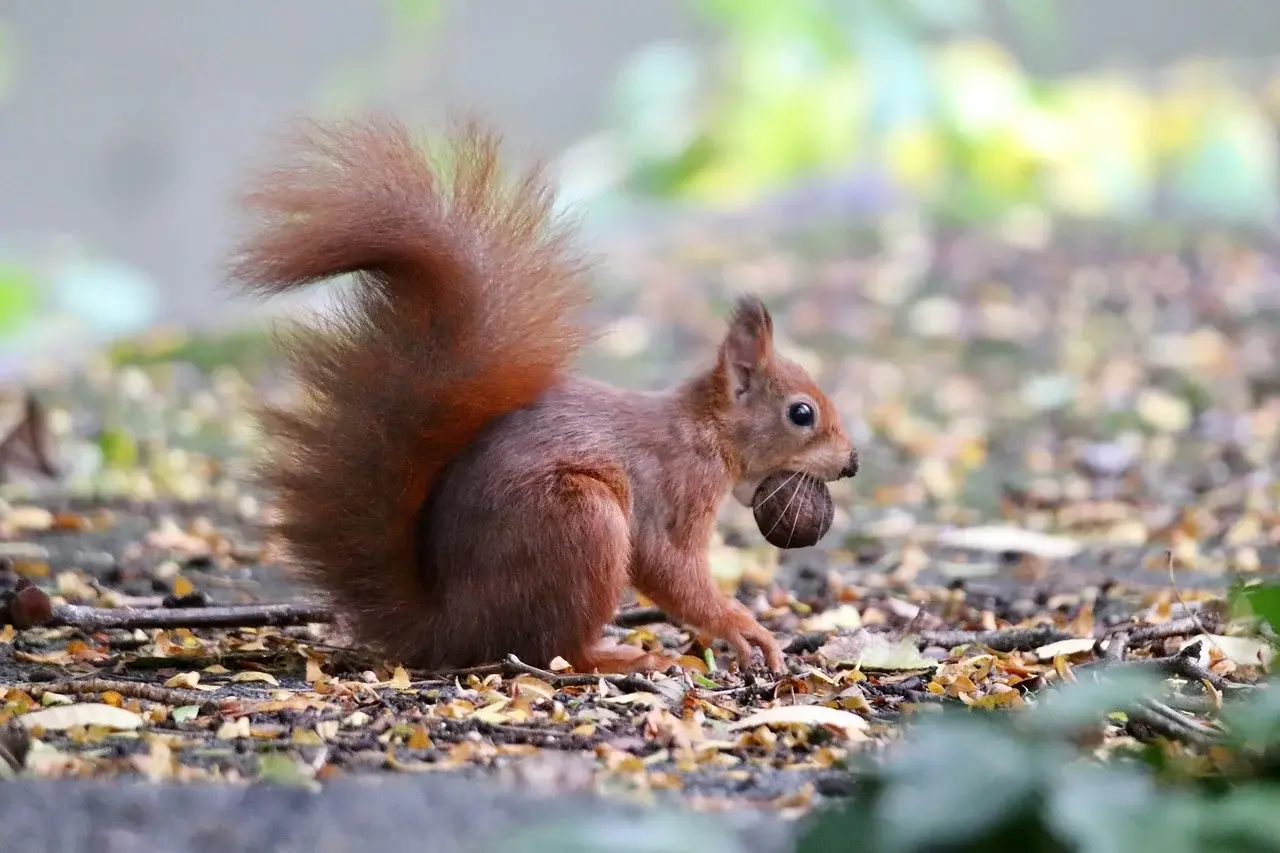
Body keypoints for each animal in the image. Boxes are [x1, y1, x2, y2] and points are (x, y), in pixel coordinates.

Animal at [227, 114, 860, 671]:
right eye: (801, 413)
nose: (852, 463)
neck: (706, 429)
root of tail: (450, 627)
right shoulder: (675, 490)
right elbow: (668, 566)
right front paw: (743, 628)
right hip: (579, 523)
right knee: (554, 648)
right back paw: (619, 657)